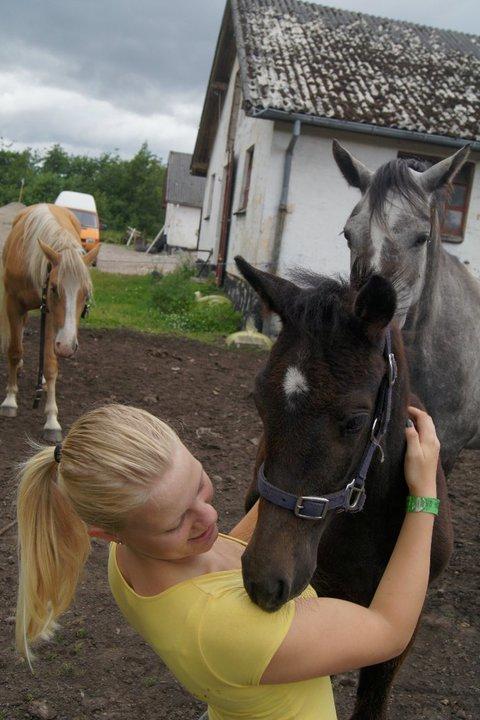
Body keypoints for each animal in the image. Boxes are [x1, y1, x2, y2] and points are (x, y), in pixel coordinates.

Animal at [0, 201, 98, 438]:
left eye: (86, 294)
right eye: (54, 288)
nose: (68, 346)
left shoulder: (54, 318)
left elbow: (52, 365)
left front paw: (52, 420)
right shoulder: (13, 304)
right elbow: (14, 351)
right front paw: (10, 400)